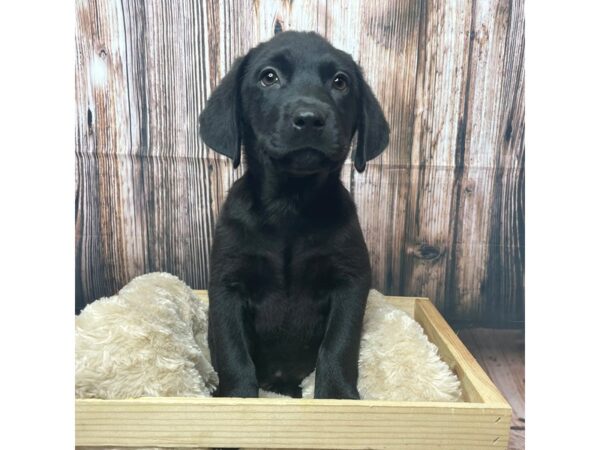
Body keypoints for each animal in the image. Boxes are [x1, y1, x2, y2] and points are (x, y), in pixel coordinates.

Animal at [199, 29, 392, 400]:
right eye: (269, 77)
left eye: (340, 81)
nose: (310, 118)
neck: (290, 205)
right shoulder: (227, 286)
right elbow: (234, 353)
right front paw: (237, 398)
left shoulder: (350, 282)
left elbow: (338, 347)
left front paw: (336, 396)